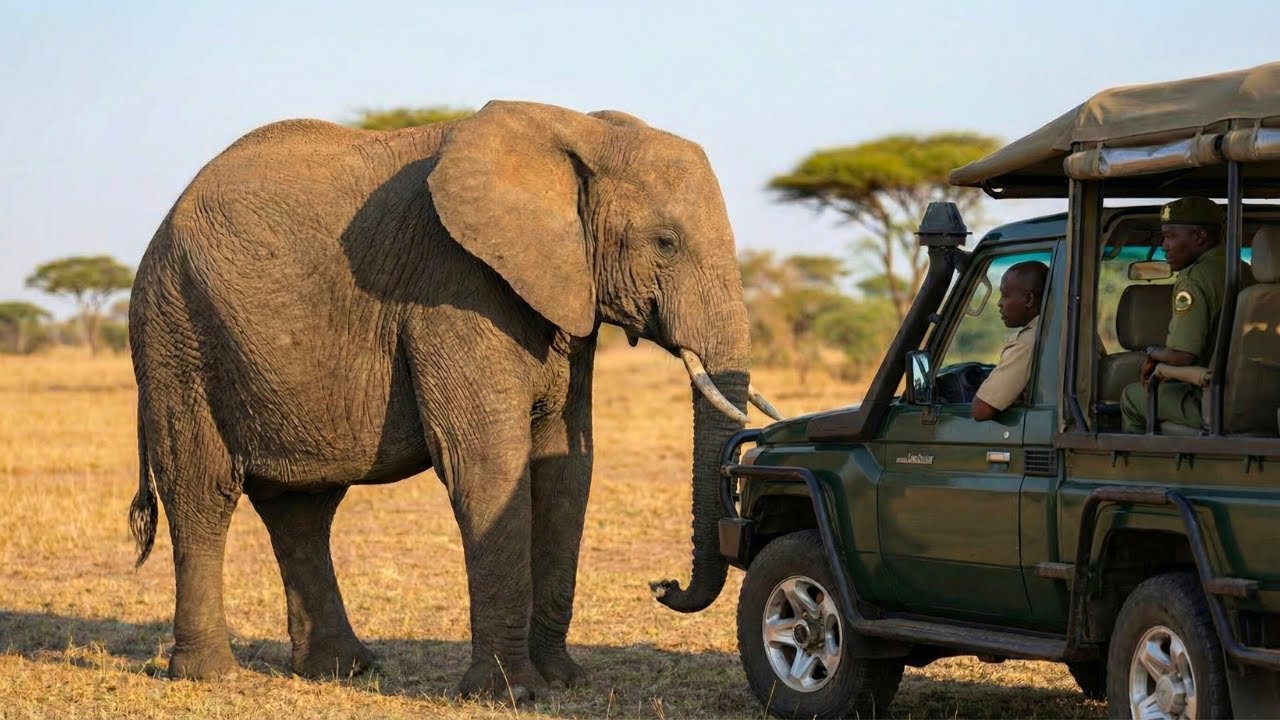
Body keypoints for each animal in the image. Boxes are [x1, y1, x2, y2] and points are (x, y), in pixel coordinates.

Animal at [127, 100, 781, 699]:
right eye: (665, 242)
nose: (660, 586)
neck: (576, 131)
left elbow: (565, 466)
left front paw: (564, 682)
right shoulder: (454, 287)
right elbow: (486, 464)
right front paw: (511, 695)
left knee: (303, 509)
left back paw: (342, 671)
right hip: (178, 333)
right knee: (203, 491)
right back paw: (210, 676)